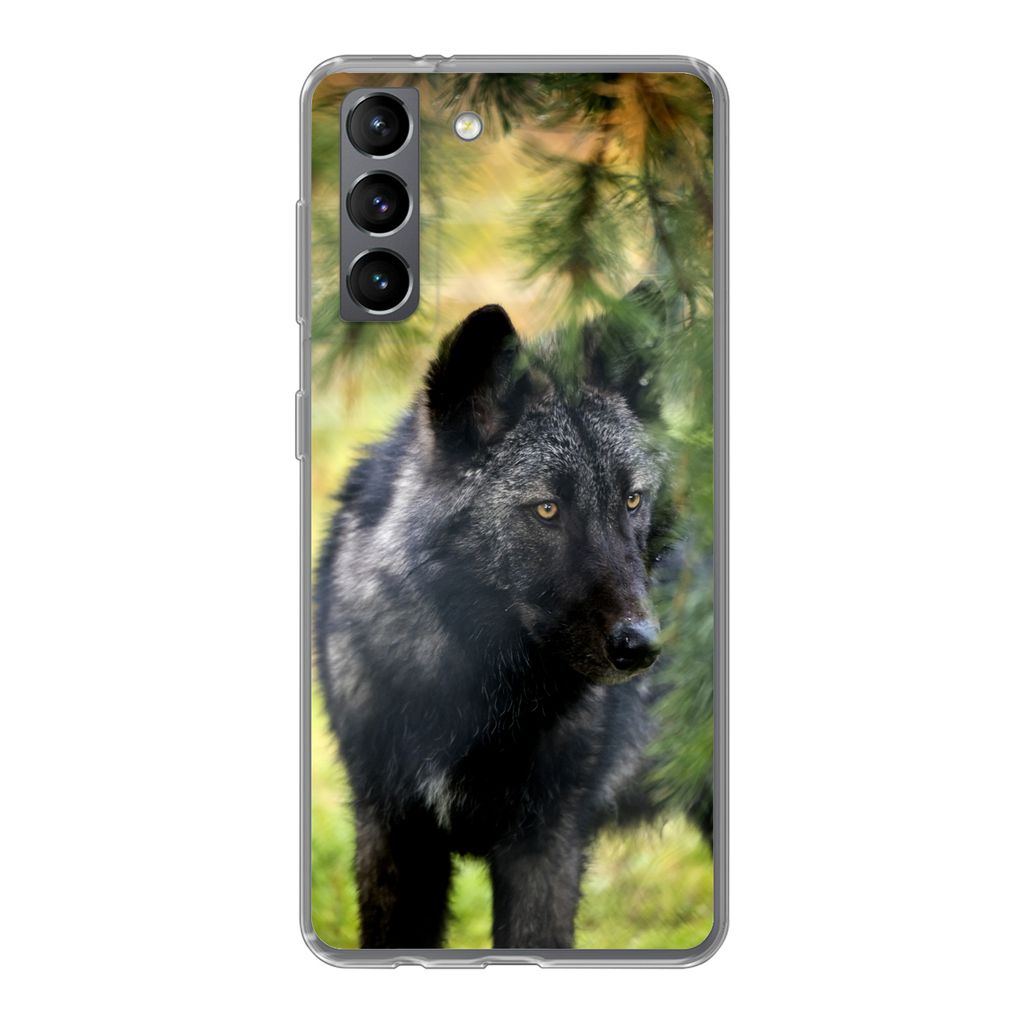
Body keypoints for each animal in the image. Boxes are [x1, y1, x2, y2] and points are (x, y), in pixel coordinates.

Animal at [316, 289, 677, 949]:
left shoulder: (546, 847)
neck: (470, 692)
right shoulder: (392, 834)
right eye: (547, 509)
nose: (641, 646)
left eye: (631, 499)